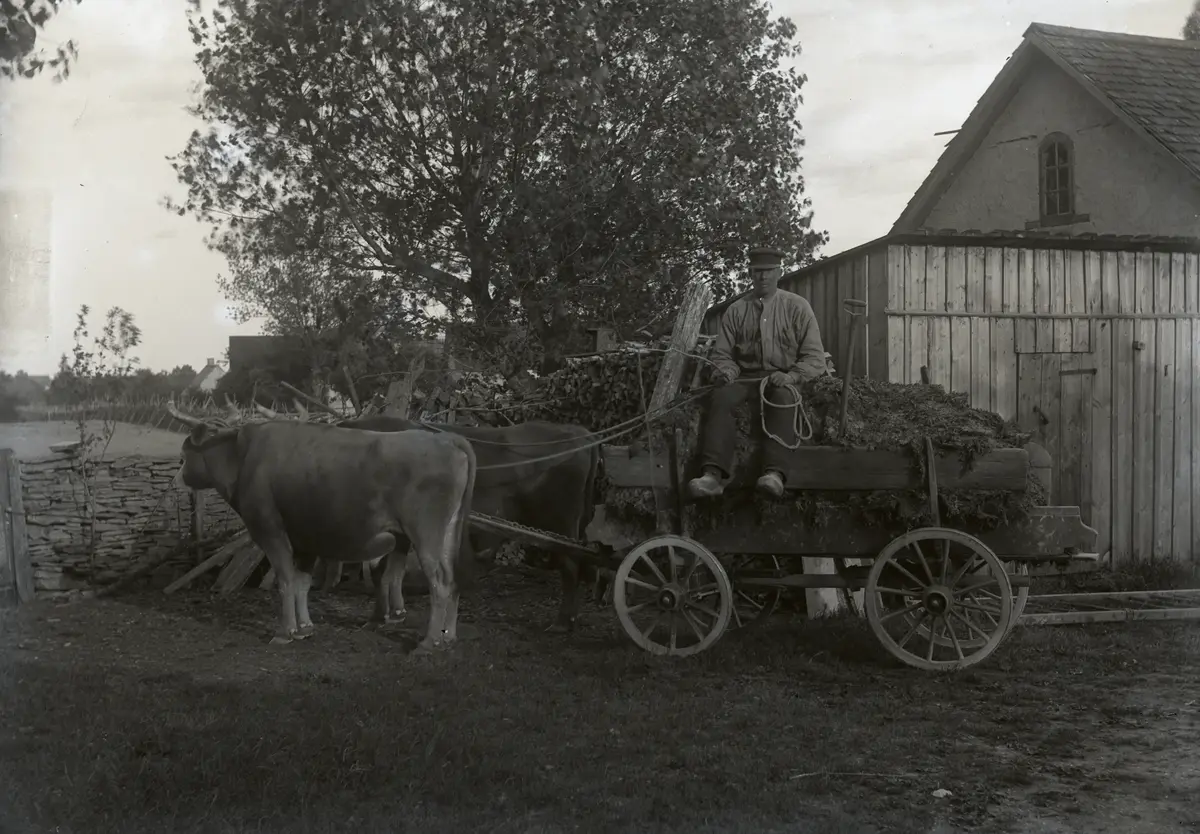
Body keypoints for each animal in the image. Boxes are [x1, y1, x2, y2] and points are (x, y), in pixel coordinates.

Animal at [166, 401, 477, 653]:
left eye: (184, 452)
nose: (177, 479)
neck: (244, 457)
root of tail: (447, 439)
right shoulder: (306, 538)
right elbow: (302, 583)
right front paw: (304, 628)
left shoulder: (271, 531)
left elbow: (286, 580)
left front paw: (285, 632)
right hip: (447, 533)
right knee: (453, 577)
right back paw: (447, 636)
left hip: (425, 535)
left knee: (440, 581)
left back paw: (429, 641)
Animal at [321, 413, 602, 634]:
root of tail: (578, 432)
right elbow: (393, 572)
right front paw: (394, 613)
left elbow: (381, 572)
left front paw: (378, 617)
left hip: (560, 524)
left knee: (570, 566)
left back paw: (562, 622)